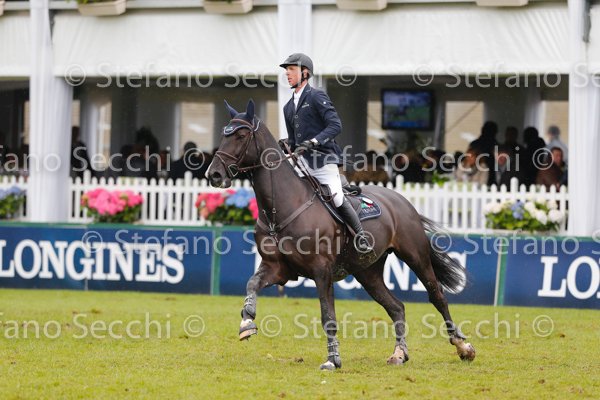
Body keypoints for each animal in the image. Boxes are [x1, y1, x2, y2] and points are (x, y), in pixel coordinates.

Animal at [207, 99, 475, 370]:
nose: (213, 174)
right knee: (396, 307)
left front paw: (332, 360)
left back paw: (463, 347)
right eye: (223, 134)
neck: (282, 207)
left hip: (415, 256)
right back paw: (399, 353)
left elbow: (328, 316)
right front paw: (247, 322)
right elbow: (252, 284)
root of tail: (400, 199)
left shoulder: (321, 271)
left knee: (437, 296)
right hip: (368, 272)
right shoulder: (278, 269)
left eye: (241, 136)